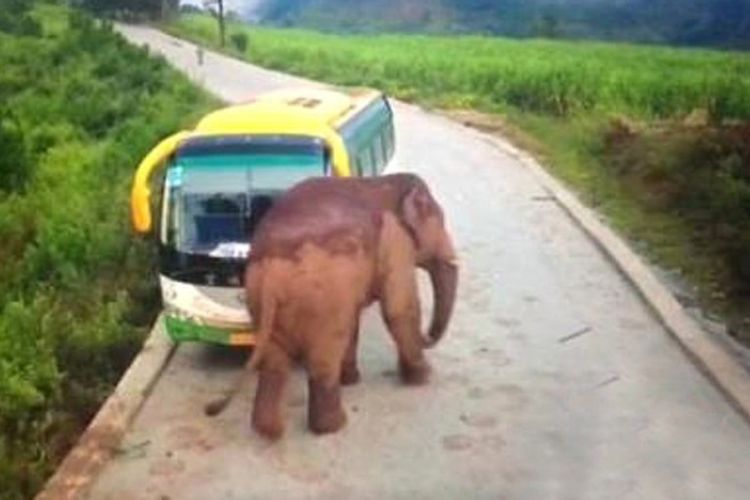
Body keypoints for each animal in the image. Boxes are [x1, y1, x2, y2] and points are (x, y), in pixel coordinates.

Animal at [206, 172, 462, 438]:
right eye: (441, 222)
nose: (428, 337)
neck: (385, 182)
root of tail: (270, 269)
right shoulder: (394, 241)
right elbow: (399, 308)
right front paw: (423, 378)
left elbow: (358, 317)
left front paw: (352, 380)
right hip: (323, 299)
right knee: (325, 354)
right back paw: (334, 425)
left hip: (263, 297)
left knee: (275, 361)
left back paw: (269, 431)